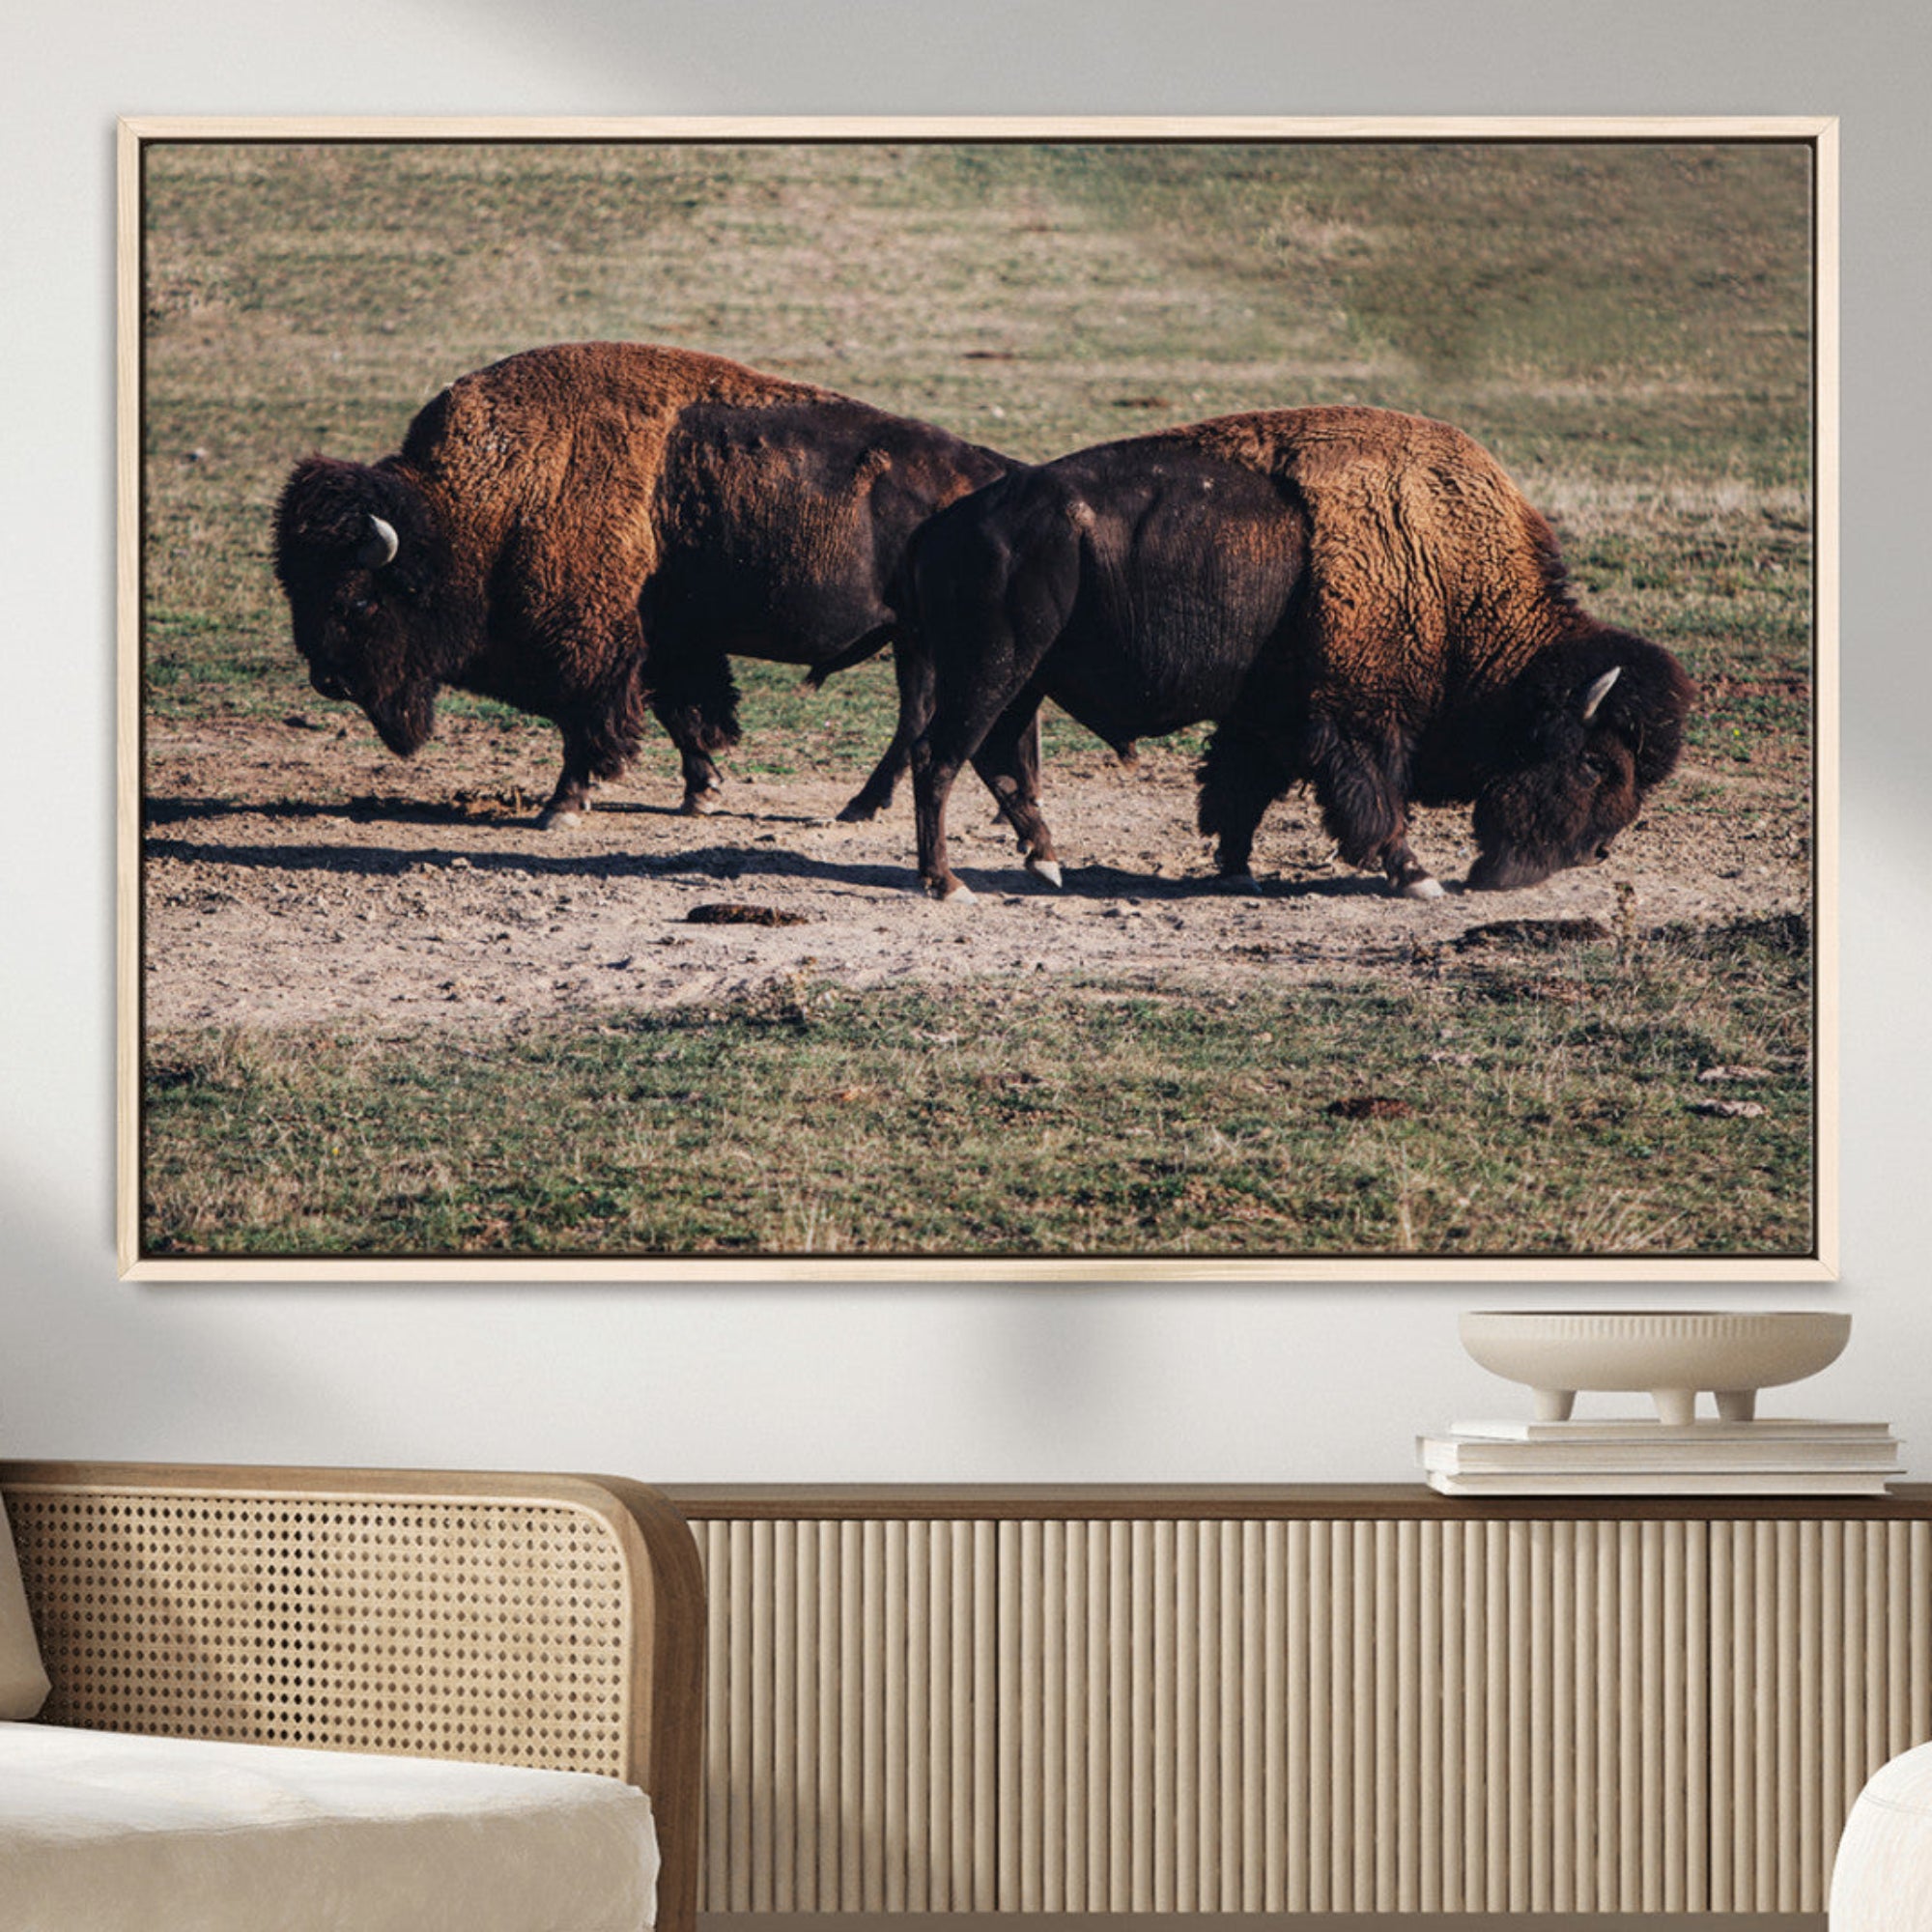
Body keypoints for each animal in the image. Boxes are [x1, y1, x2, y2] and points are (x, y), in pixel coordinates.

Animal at [273, 341, 1014, 825]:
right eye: (295, 589)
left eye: (358, 599)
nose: (329, 680)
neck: (484, 504)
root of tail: (996, 473)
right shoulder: (665, 642)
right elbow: (683, 714)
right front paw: (701, 793)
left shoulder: (591, 648)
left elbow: (589, 721)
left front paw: (562, 806)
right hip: (916, 640)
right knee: (920, 715)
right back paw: (868, 805)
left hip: (926, 640)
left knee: (922, 716)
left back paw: (866, 808)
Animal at [905, 406, 1695, 900]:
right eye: (1595, 763)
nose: (1591, 852)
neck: (1447, 574)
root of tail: (948, 523)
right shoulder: (1356, 718)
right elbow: (1373, 799)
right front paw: (1418, 877)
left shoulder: (1270, 717)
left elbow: (1239, 790)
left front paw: (1236, 871)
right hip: (995, 668)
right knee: (939, 757)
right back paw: (948, 884)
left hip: (1025, 679)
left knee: (996, 759)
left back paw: (1045, 863)